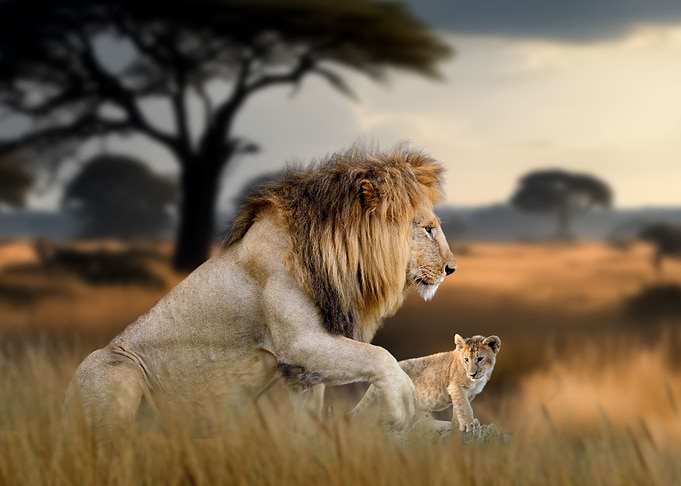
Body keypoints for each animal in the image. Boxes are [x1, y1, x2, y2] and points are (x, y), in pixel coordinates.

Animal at [63, 144, 457, 446]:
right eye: (428, 229)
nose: (451, 269)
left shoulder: (302, 369)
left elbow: (308, 421)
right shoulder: (299, 342)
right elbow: (380, 355)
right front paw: (402, 404)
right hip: (115, 370)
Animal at [349, 334, 501, 436]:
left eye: (479, 359)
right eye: (466, 359)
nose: (472, 374)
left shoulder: (469, 393)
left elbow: (458, 409)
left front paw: (457, 425)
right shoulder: (456, 386)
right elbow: (464, 407)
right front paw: (469, 425)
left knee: (421, 423)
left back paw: (443, 426)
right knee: (382, 423)